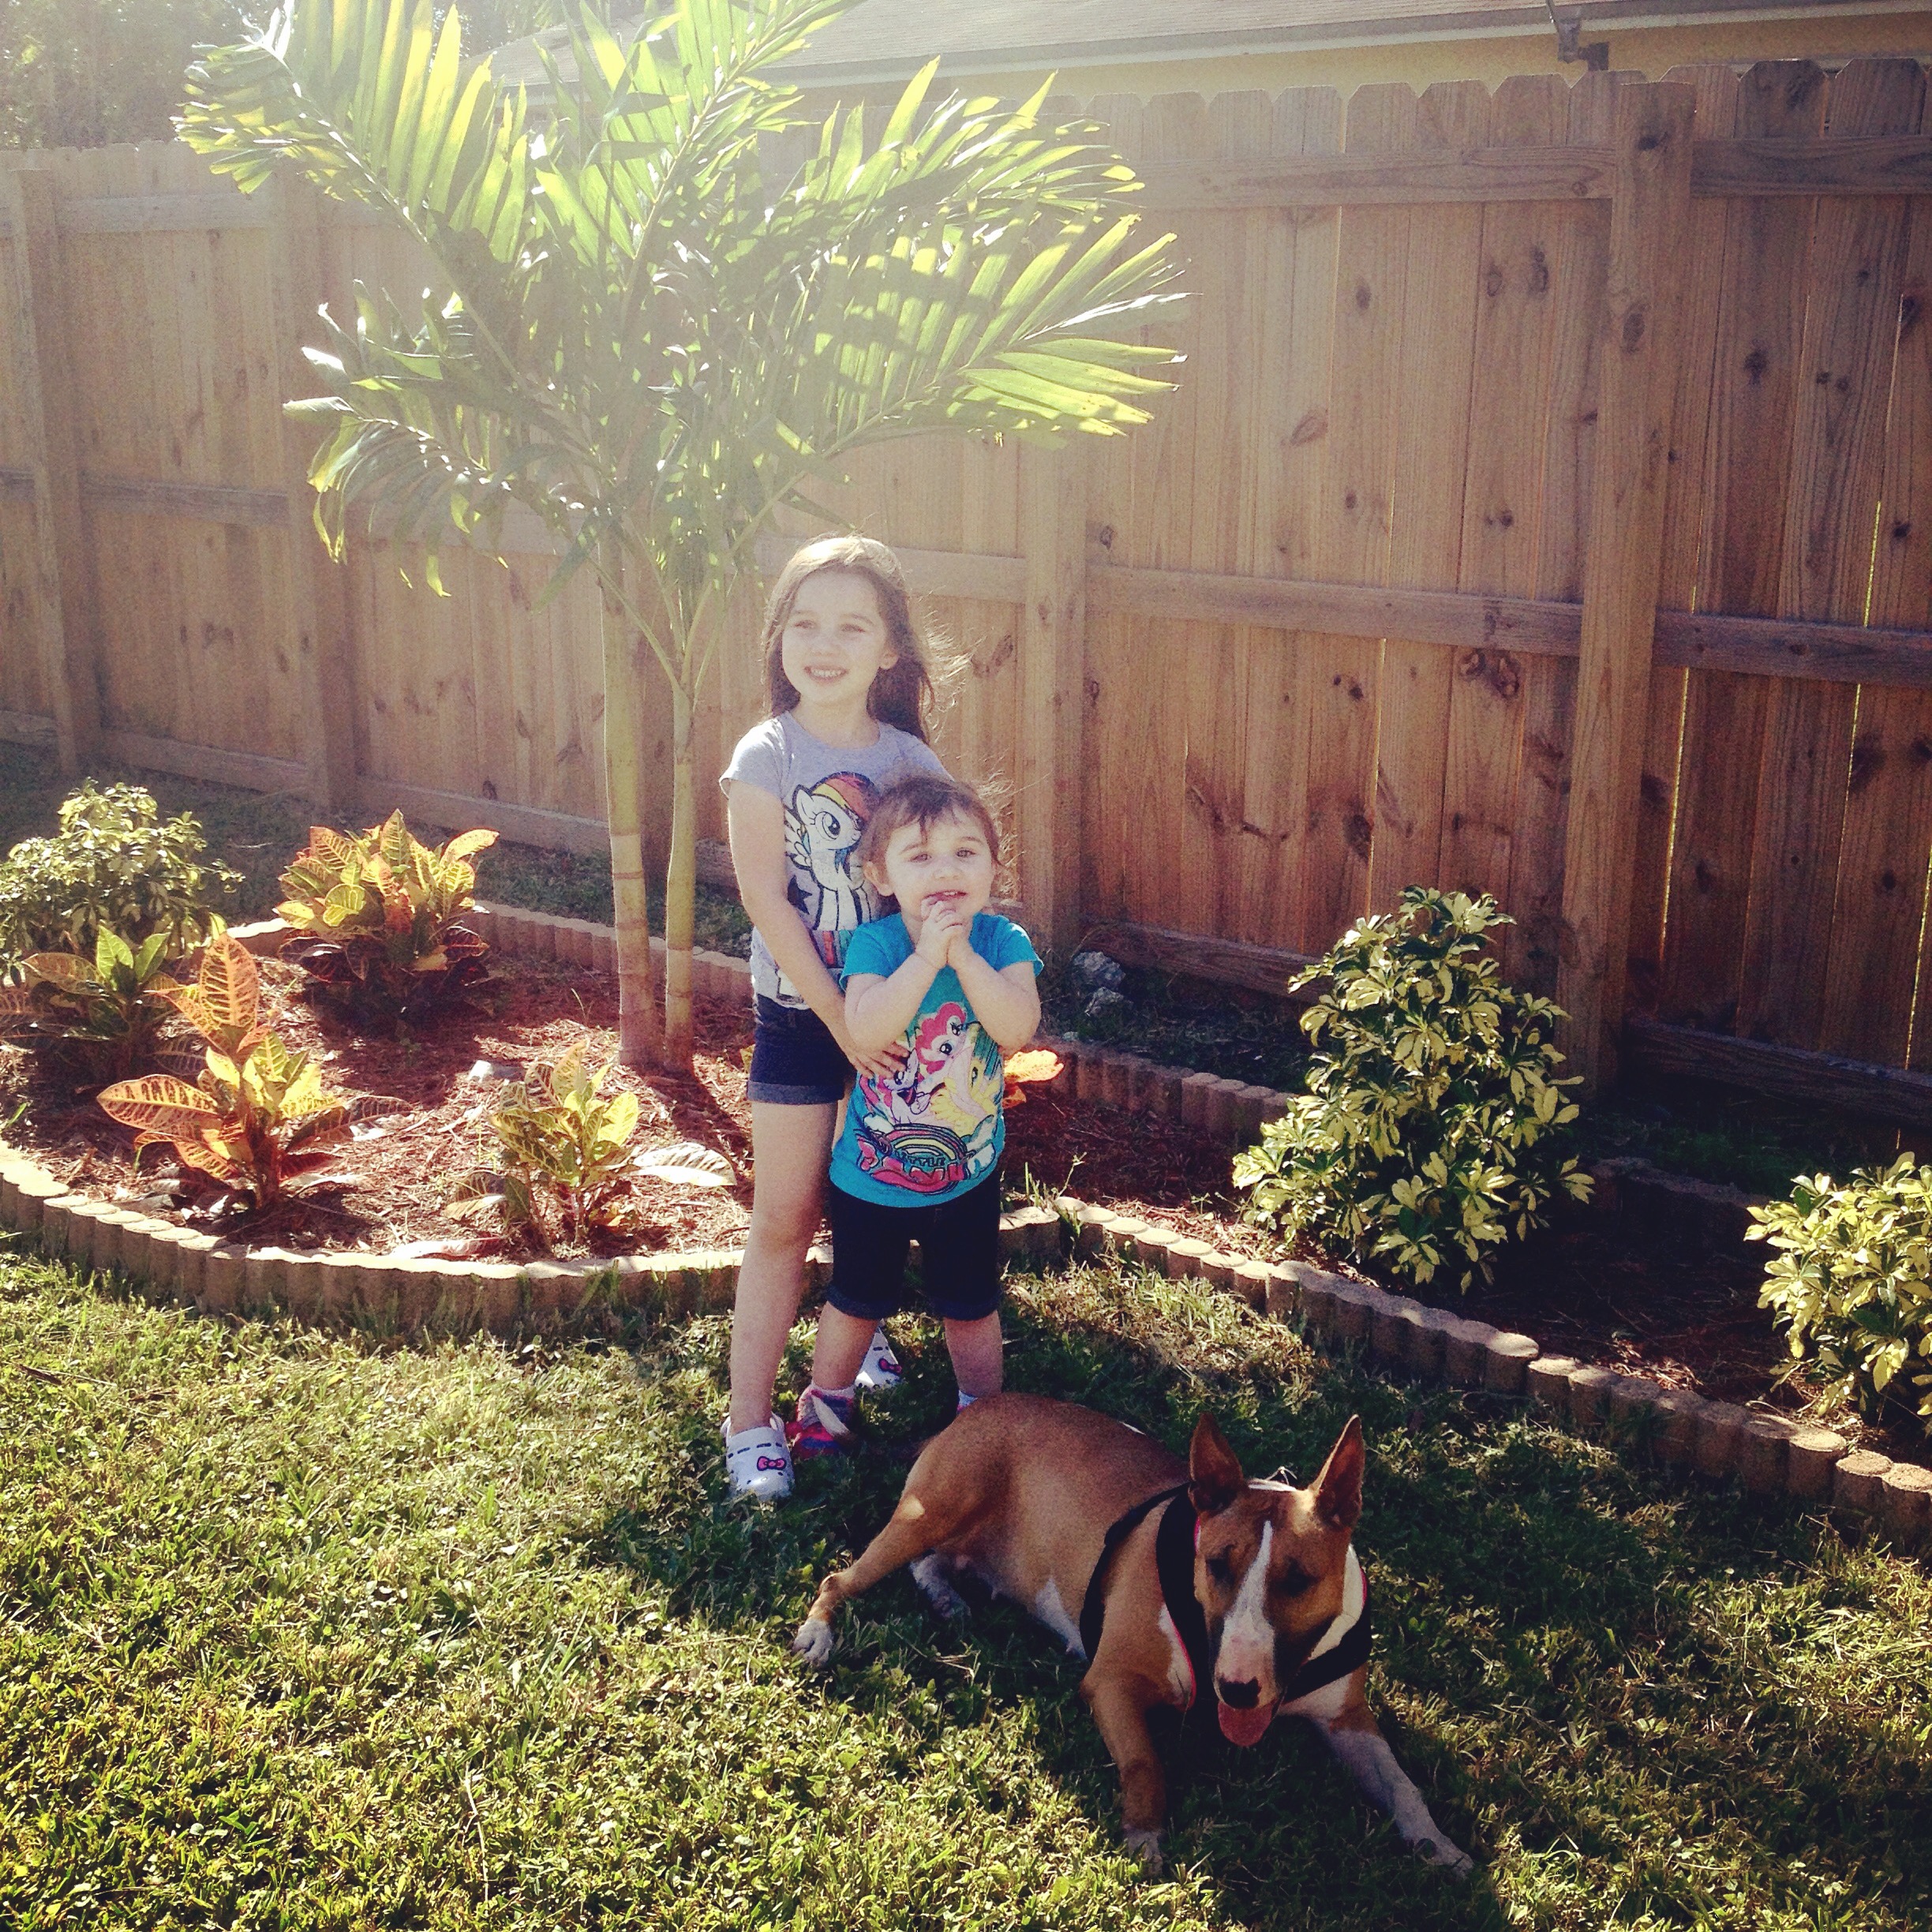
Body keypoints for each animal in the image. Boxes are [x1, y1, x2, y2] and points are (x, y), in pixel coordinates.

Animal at [792, 1393, 1472, 1876]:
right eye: (1215, 1564)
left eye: (1299, 1579)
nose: (1236, 1690)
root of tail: (973, 1409)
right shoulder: (1111, 1681)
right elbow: (1146, 1762)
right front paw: (1144, 1839)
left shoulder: (1347, 1718)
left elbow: (1404, 1784)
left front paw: (1439, 1845)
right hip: (929, 1512)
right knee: (840, 1577)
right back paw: (819, 1633)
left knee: (930, 1565)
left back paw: (948, 1600)